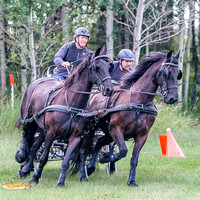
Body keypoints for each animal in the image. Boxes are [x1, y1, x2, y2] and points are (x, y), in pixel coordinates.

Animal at [15, 45, 114, 186]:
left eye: (109, 66)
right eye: (96, 67)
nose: (109, 89)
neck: (70, 103)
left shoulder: (76, 137)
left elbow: (66, 160)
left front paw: (61, 181)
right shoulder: (51, 134)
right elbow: (44, 158)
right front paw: (35, 177)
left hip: (43, 128)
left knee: (34, 146)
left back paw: (25, 169)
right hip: (29, 120)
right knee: (26, 136)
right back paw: (22, 158)